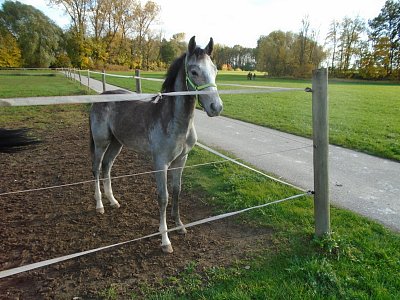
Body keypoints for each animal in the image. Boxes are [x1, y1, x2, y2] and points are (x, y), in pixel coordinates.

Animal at [89, 37, 223, 253]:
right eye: (194, 71)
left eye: (215, 69)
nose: (216, 107)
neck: (174, 121)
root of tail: (100, 97)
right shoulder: (160, 163)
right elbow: (163, 197)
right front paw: (165, 240)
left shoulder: (181, 160)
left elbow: (177, 191)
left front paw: (180, 226)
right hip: (101, 143)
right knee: (96, 168)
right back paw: (100, 205)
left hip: (117, 143)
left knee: (107, 167)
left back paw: (113, 201)